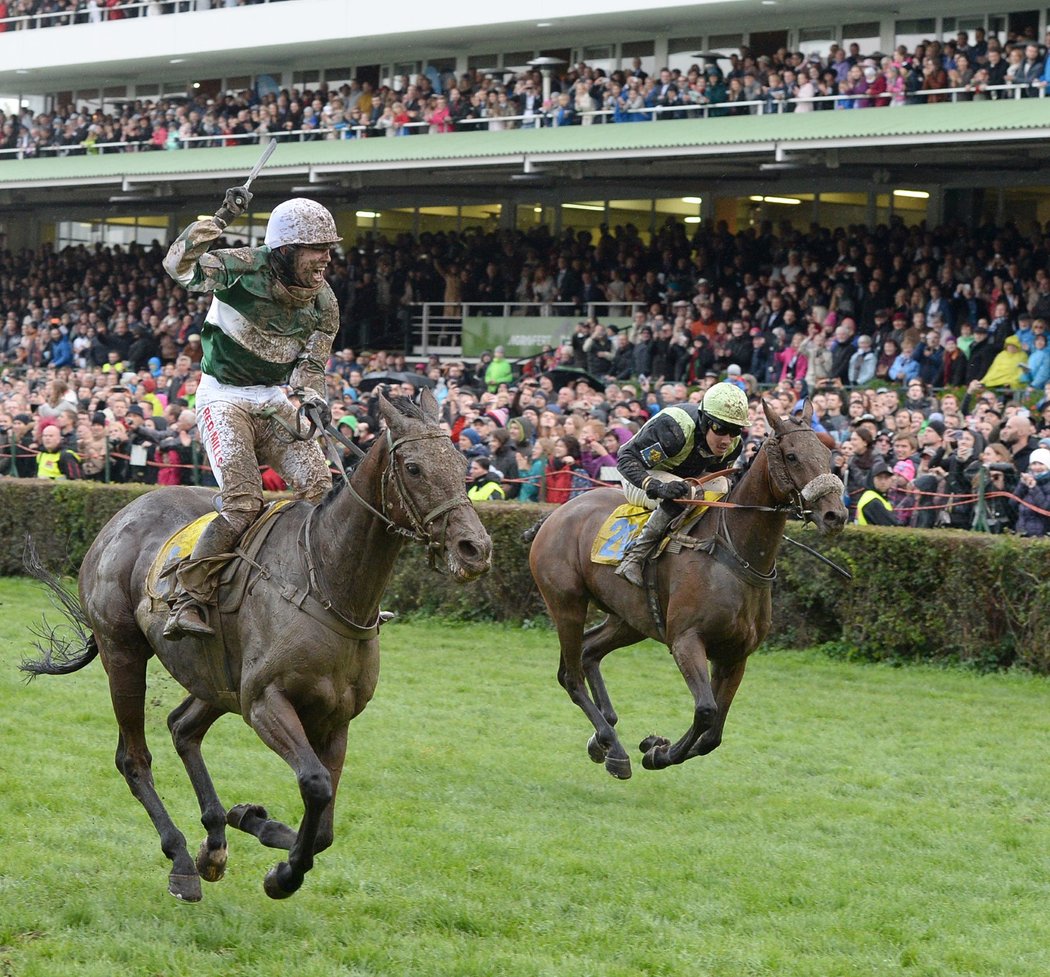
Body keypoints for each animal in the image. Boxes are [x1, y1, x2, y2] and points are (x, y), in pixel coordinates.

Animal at [23, 388, 491, 899]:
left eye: (462, 463)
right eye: (413, 467)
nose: (475, 549)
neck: (327, 581)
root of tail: (116, 522)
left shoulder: (336, 717)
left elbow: (324, 827)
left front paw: (254, 821)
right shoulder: (266, 701)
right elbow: (316, 783)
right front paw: (282, 873)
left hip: (216, 678)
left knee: (182, 727)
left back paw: (214, 840)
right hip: (123, 652)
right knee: (134, 758)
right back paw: (182, 859)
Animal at [529, 399, 848, 781]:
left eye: (828, 454)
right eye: (792, 456)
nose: (835, 515)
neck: (734, 553)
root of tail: (556, 514)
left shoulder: (735, 655)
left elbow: (713, 735)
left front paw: (655, 745)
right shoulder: (686, 640)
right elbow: (706, 710)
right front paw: (657, 753)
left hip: (631, 619)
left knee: (590, 652)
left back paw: (603, 741)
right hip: (567, 606)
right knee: (570, 675)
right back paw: (613, 747)